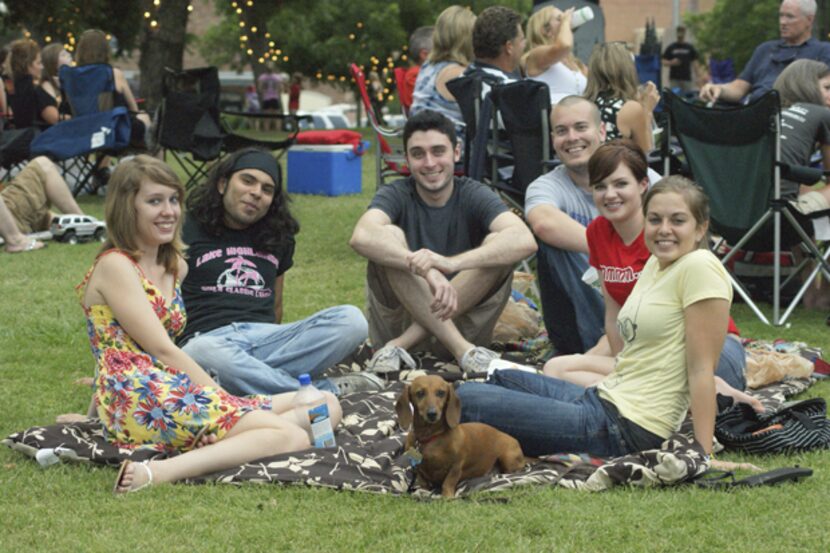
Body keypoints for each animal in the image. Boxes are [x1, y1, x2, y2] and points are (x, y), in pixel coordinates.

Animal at [396, 376, 528, 496]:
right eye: (420, 393)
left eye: (441, 392)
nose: (432, 414)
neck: (430, 436)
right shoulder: (418, 469)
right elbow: (423, 482)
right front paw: (423, 491)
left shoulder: (456, 466)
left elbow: (448, 483)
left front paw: (447, 497)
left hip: (508, 458)